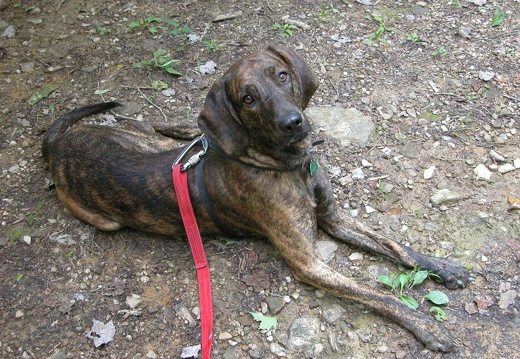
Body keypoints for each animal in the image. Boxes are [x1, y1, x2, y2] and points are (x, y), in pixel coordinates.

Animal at [40, 44, 472, 352]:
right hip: (105, 219)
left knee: (168, 129)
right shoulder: (308, 263)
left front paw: (442, 267)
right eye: (247, 99)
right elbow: (376, 293)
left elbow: (395, 246)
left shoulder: (333, 217)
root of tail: (57, 144)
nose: (293, 123)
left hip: (151, 142)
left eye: (282, 76)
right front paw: (425, 325)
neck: (287, 166)